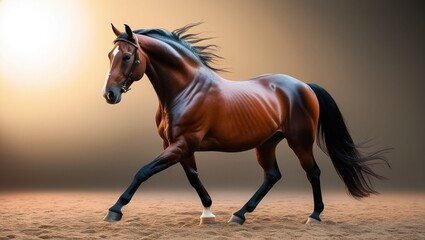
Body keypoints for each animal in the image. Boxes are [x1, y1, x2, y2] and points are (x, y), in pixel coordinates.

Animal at [102, 23, 388, 224]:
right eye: (109, 55)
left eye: (126, 57)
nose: (109, 95)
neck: (186, 90)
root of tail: (304, 86)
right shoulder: (177, 146)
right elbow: (193, 177)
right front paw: (208, 212)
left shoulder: (183, 144)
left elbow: (144, 171)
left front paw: (115, 209)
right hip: (267, 143)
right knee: (272, 175)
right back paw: (240, 214)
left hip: (300, 141)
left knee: (313, 172)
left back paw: (314, 215)